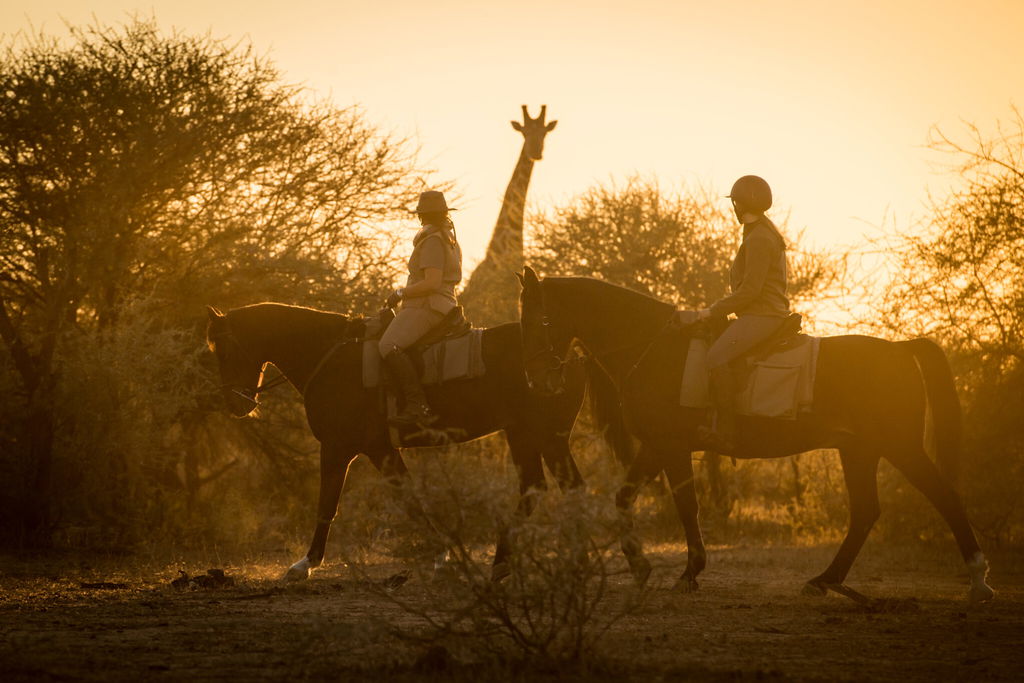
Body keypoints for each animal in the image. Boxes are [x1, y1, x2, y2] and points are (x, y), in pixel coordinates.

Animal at [205, 302, 629, 581]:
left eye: (222, 350)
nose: (236, 404)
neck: (331, 357)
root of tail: (569, 352)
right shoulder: (380, 450)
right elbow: (410, 500)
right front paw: (441, 554)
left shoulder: (345, 448)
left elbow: (330, 504)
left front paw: (304, 564)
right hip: (528, 435)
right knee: (544, 489)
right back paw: (516, 564)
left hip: (542, 435)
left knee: (559, 489)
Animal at [517, 267, 995, 603]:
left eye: (541, 319)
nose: (537, 381)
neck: (653, 347)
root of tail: (900, 348)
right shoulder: (654, 447)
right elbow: (623, 499)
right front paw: (640, 566)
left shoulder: (672, 448)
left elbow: (687, 508)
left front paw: (689, 573)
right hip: (858, 450)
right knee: (865, 513)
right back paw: (823, 581)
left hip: (900, 446)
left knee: (944, 497)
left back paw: (978, 580)